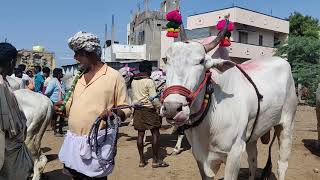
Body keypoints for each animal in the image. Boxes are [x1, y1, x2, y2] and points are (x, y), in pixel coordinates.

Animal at [161, 40, 298, 179]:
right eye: (166, 59)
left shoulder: (234, 153)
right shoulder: (199, 157)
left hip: (287, 125)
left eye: (201, 61)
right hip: (252, 136)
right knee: (253, 161)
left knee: (281, 164)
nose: (172, 108)